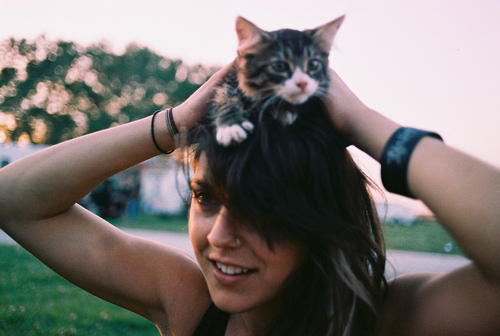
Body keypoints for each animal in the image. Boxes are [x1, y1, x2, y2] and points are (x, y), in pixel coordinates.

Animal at [210, 15, 344, 147]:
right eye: (280, 66)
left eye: (313, 65)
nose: (302, 83)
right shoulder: (231, 77)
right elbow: (225, 96)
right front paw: (230, 126)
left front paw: (285, 111)